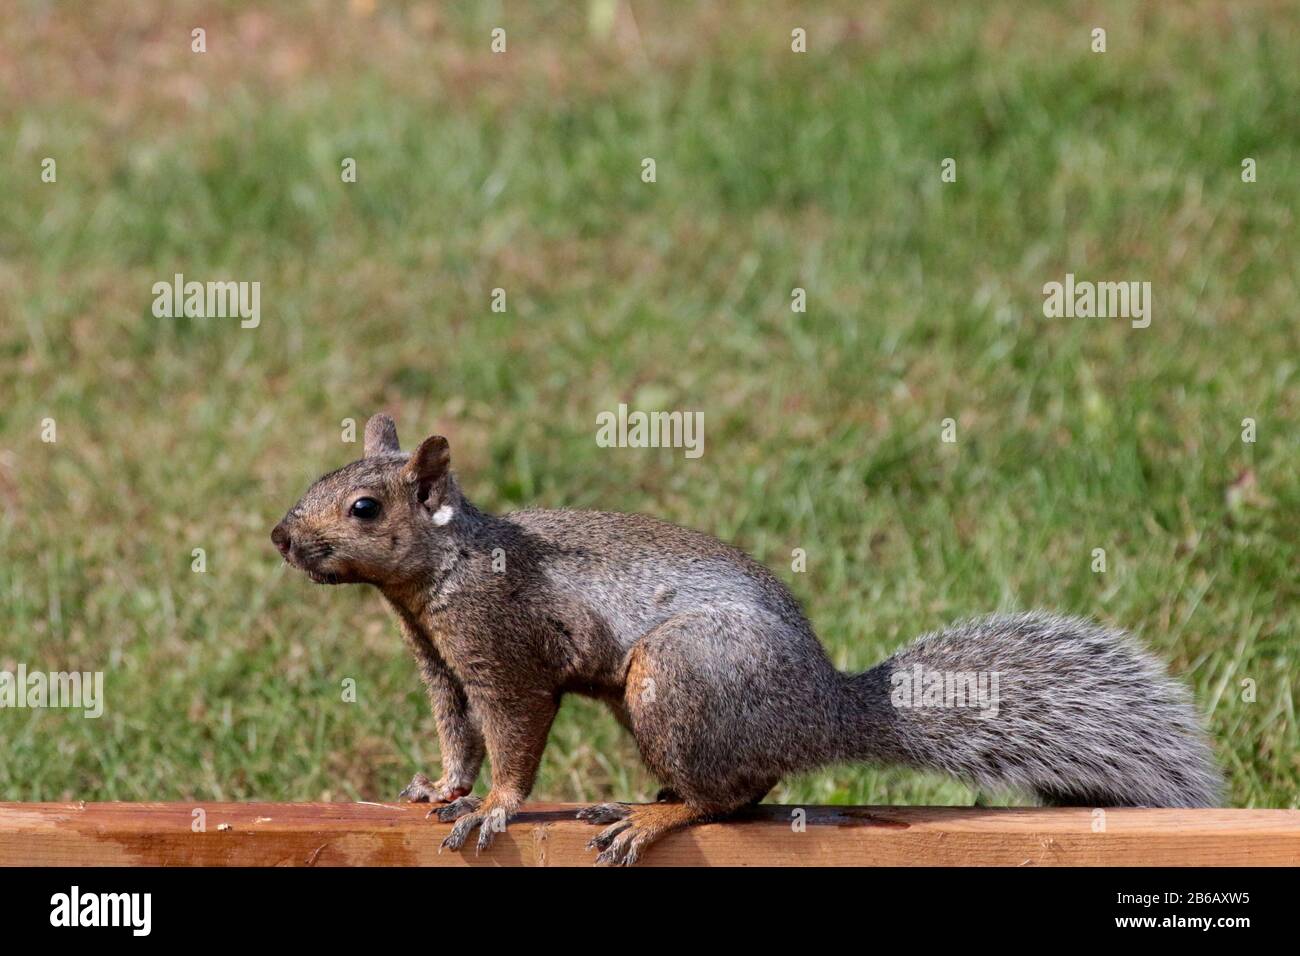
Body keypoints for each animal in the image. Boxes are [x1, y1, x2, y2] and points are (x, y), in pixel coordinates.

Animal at [271, 416, 1216, 863]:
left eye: (364, 508)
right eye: (320, 478)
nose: (282, 537)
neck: (441, 572)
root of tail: (824, 710)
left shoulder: (504, 653)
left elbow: (513, 735)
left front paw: (496, 807)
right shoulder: (440, 664)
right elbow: (457, 734)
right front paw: (440, 788)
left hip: (676, 675)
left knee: (727, 799)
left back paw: (654, 816)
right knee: (751, 787)